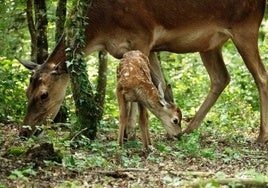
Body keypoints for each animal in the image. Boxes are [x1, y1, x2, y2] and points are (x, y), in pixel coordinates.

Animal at [17, 0, 266, 144]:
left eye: (44, 94)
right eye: (27, 91)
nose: (25, 131)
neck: (102, 31)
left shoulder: (143, 36)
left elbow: (144, 87)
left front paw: (131, 133)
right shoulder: (142, 48)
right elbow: (159, 84)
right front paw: (165, 128)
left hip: (246, 28)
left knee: (261, 76)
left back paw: (261, 137)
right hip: (210, 44)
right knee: (221, 77)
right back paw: (190, 130)